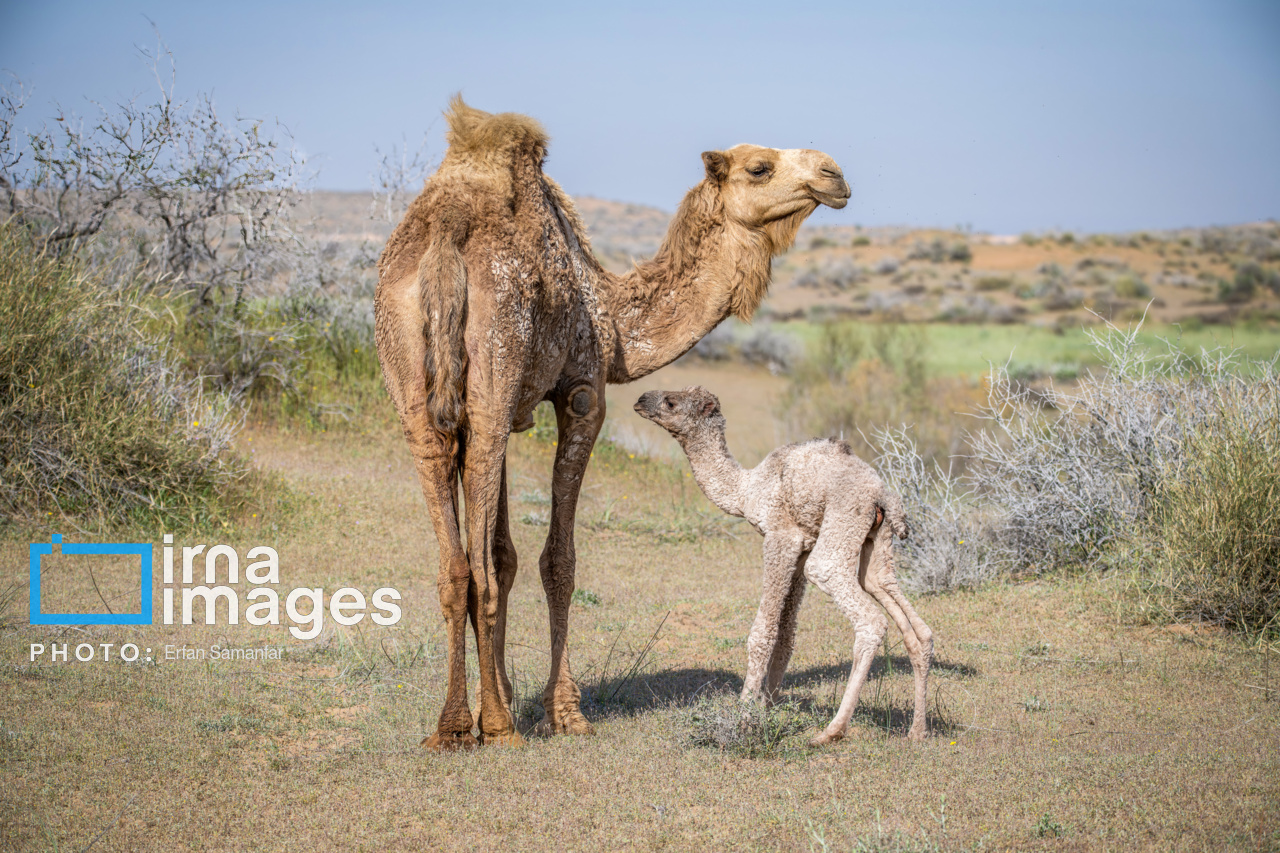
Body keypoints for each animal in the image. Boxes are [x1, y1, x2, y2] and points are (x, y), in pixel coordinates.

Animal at [634, 381, 936, 742]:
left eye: (671, 402)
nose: (640, 400)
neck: (746, 489)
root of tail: (883, 496)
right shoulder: (803, 545)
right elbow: (786, 635)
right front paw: (770, 707)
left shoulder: (780, 538)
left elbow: (762, 632)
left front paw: (744, 718)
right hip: (876, 543)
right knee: (910, 619)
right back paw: (917, 731)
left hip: (839, 533)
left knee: (869, 619)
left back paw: (831, 731)